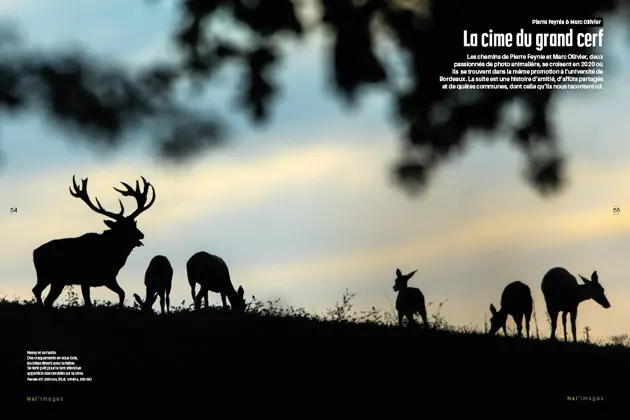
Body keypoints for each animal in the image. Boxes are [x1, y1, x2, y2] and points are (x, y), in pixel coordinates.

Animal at [32, 174, 156, 308]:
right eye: (123, 227)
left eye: (133, 224)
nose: (141, 235)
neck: (114, 258)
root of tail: (35, 253)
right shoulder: (85, 278)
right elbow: (89, 303)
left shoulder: (108, 278)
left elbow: (122, 293)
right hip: (46, 275)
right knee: (36, 290)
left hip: (58, 280)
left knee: (47, 299)